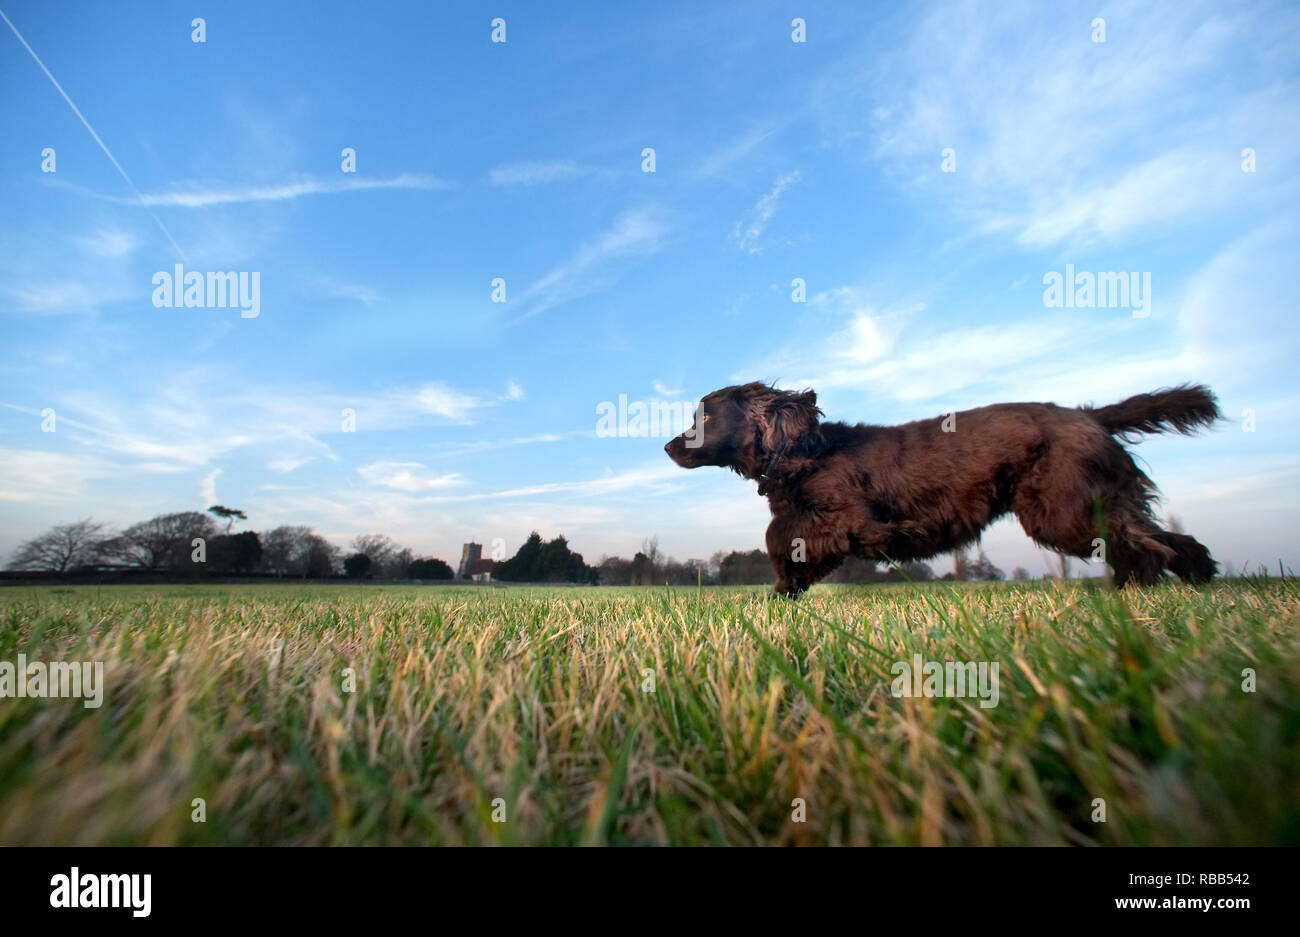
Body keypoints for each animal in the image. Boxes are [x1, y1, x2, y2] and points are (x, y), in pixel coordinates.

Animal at [665, 379, 1222, 592]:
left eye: (704, 417)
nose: (669, 446)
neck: (802, 451)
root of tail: (1090, 415)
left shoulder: (839, 517)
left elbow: (777, 537)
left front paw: (781, 590)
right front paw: (786, 592)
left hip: (1065, 510)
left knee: (1149, 544)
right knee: (1156, 541)